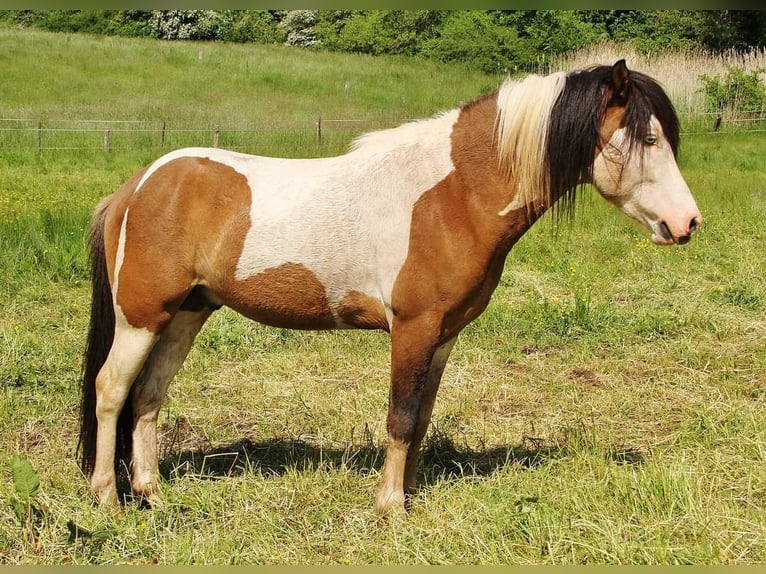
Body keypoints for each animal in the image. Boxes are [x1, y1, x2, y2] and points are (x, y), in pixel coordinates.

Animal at [76, 60, 704, 516]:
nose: (687, 223)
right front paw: (388, 509)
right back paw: (107, 498)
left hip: (185, 313)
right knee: (112, 390)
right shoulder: (412, 328)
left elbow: (420, 418)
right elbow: (400, 418)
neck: (452, 194)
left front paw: (408, 496)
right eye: (646, 139)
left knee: (148, 397)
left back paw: (153, 495)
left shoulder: (443, 336)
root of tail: (137, 185)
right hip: (141, 317)